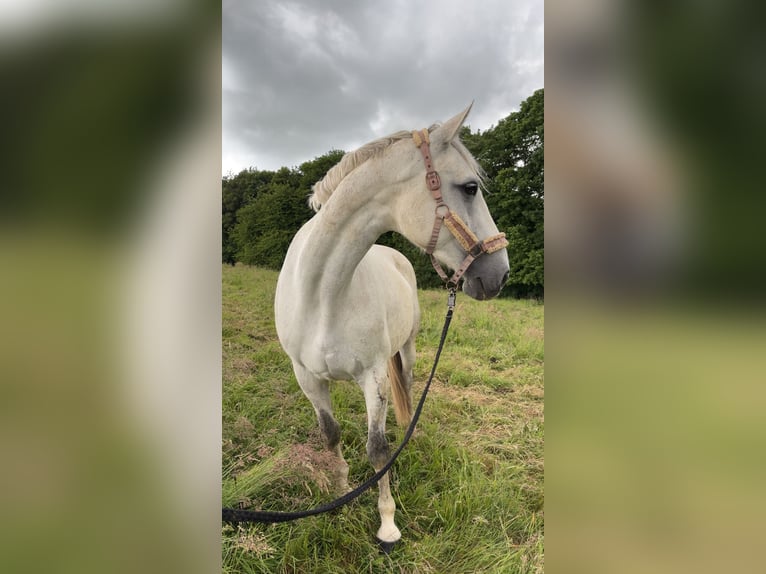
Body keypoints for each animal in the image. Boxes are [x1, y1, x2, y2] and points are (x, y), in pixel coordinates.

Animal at [274, 104, 510, 549]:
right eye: (470, 187)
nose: (500, 275)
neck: (322, 294)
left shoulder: (374, 377)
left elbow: (378, 450)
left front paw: (387, 524)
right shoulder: (307, 378)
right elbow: (331, 435)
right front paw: (340, 491)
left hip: (409, 349)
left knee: (411, 387)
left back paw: (408, 434)